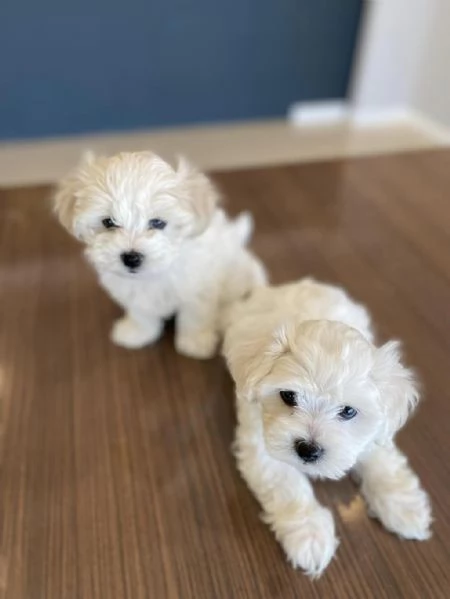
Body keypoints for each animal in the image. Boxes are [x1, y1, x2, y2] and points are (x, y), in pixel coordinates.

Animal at [56, 152, 268, 358]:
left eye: (158, 222)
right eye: (108, 222)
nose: (131, 257)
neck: (155, 273)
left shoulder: (198, 287)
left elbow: (195, 315)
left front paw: (195, 341)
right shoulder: (134, 291)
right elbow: (141, 312)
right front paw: (138, 332)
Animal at [223, 278, 430, 580]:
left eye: (348, 411)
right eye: (288, 396)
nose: (308, 450)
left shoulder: (373, 433)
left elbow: (385, 462)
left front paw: (406, 506)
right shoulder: (262, 445)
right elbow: (287, 485)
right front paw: (309, 535)